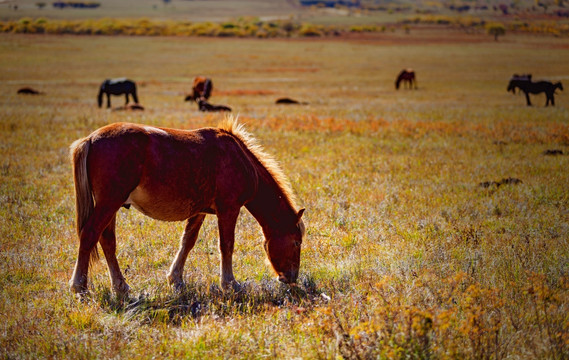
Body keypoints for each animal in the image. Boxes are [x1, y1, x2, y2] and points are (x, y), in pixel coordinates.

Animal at [70, 116, 306, 294]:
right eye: (296, 242)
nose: (291, 278)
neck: (240, 158)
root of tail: (90, 139)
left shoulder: (199, 211)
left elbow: (187, 242)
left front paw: (176, 279)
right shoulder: (228, 209)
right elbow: (226, 245)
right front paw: (230, 283)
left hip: (111, 206)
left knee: (107, 241)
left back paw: (120, 287)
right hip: (109, 202)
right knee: (90, 235)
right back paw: (79, 286)